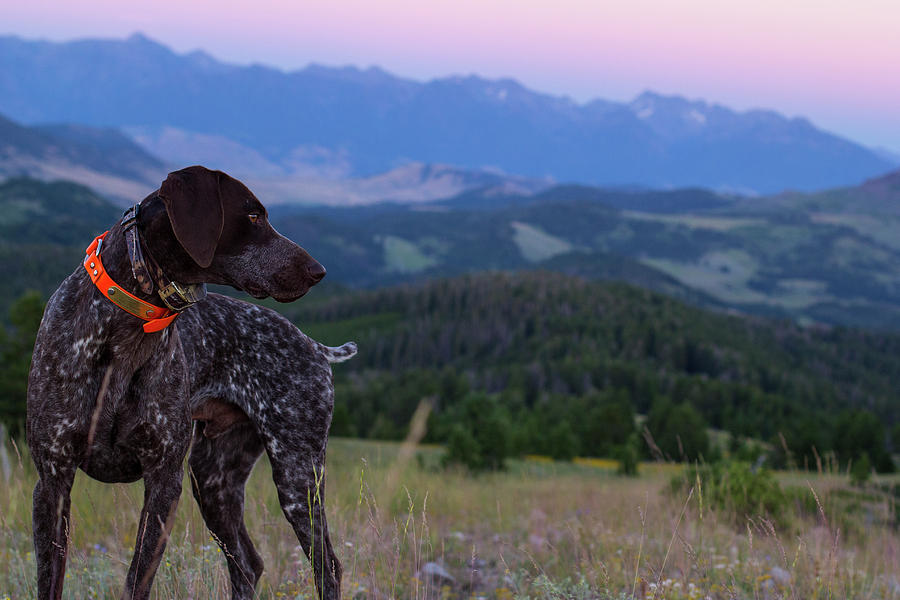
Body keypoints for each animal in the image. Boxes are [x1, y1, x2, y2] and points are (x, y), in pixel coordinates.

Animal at [25, 166, 342, 600]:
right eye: (253, 215)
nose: (319, 271)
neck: (125, 329)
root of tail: (314, 346)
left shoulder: (163, 483)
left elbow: (136, 580)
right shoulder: (53, 479)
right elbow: (50, 580)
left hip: (297, 478)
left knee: (326, 567)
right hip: (214, 482)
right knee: (248, 565)